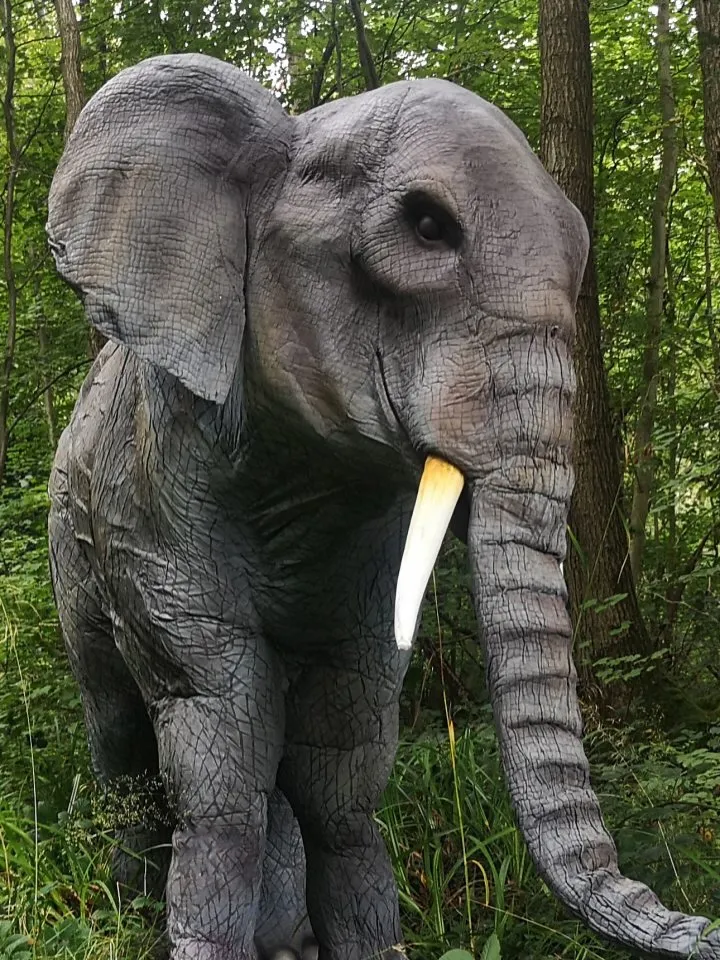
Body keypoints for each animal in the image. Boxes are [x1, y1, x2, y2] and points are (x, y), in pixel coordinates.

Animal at [45, 53, 719, 960]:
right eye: (427, 226)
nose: (697, 927)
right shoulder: (150, 496)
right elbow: (223, 759)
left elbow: (345, 765)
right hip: (75, 546)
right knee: (123, 743)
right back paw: (128, 906)